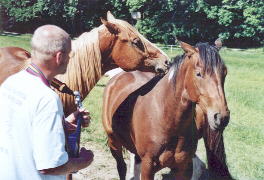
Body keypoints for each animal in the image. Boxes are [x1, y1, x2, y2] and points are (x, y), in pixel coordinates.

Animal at [102, 41, 232, 180]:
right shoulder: (148, 166)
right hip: (113, 142)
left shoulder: (184, 167)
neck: (165, 116)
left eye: (224, 73)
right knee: (122, 167)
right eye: (198, 73)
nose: (221, 117)